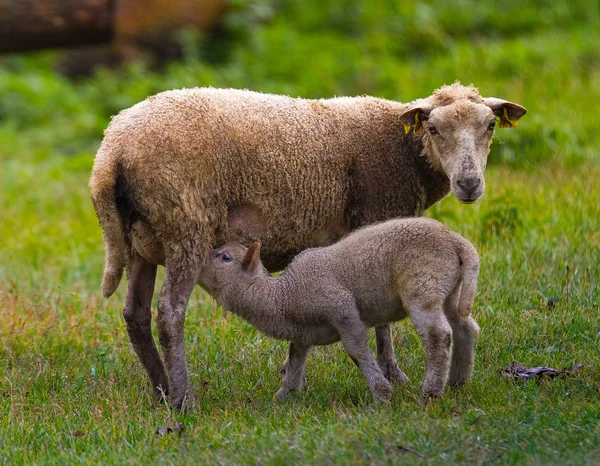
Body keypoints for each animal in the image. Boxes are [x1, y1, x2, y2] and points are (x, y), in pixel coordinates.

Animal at [199, 217, 480, 402]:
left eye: (225, 258)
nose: (200, 259)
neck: (284, 296)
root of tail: (456, 240)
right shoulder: (302, 333)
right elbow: (295, 359)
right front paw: (284, 395)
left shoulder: (342, 310)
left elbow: (356, 352)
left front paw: (381, 394)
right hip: (447, 289)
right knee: (465, 327)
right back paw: (458, 382)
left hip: (422, 285)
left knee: (439, 335)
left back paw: (431, 391)